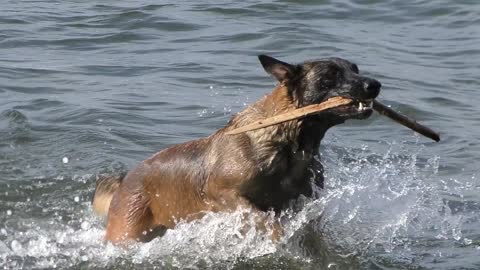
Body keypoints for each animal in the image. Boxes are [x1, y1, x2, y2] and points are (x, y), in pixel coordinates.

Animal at [92, 54, 380, 243]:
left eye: (355, 69)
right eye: (330, 75)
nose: (374, 84)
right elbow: (263, 219)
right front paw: (277, 238)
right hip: (128, 233)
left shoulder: (304, 201)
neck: (290, 143)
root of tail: (124, 181)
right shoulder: (224, 193)